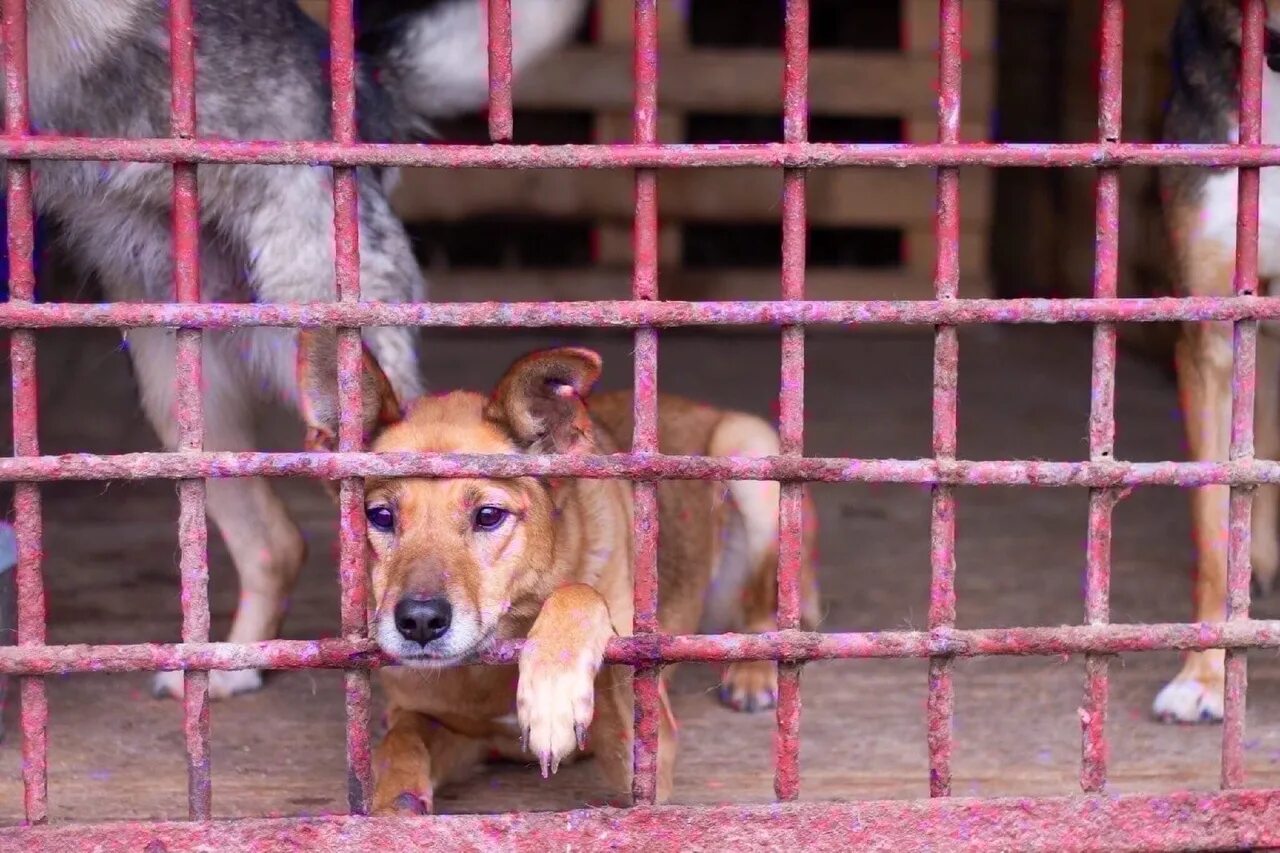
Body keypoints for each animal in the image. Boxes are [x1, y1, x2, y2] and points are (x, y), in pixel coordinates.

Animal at [296, 333, 819, 809]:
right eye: (381, 516)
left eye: (489, 515)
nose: (420, 622)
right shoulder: (451, 729)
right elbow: (401, 738)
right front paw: (394, 799)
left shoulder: (647, 751)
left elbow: (580, 594)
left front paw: (552, 692)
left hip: (751, 457)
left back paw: (754, 669)